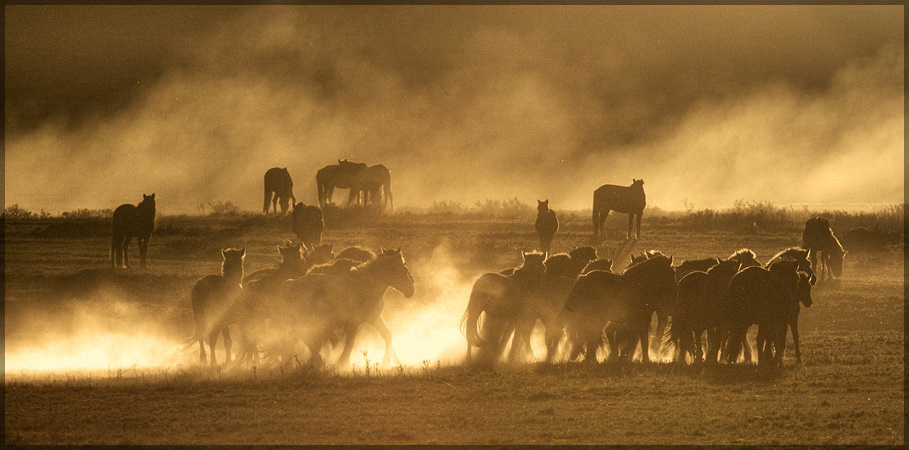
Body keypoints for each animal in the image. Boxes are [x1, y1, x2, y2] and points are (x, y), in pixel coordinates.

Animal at [272, 247, 414, 369]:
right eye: (404, 268)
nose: (411, 289)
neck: (365, 285)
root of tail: (291, 284)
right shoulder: (353, 323)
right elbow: (349, 345)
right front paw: (343, 364)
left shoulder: (373, 318)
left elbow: (387, 335)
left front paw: (388, 362)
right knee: (304, 340)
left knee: (301, 340)